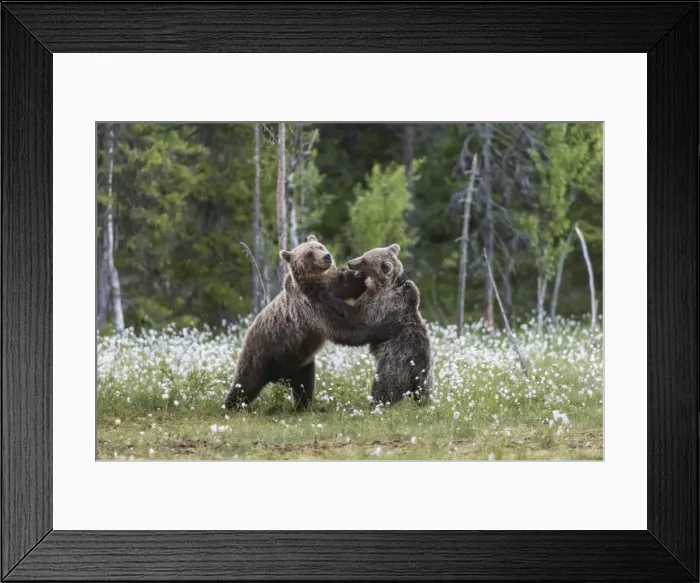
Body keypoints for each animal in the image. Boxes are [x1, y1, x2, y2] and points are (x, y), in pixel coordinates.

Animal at [223, 235, 402, 412]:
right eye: (309, 254)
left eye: (320, 246)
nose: (327, 256)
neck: (318, 284)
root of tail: (279, 377)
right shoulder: (310, 308)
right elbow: (340, 329)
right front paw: (385, 329)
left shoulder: (336, 284)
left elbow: (353, 285)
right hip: (260, 353)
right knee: (245, 383)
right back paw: (230, 406)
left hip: (301, 363)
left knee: (304, 385)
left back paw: (306, 407)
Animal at [330, 243, 434, 407]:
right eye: (364, 254)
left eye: (365, 261)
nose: (350, 263)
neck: (382, 285)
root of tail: (418, 370)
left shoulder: (380, 306)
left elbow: (358, 315)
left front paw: (334, 300)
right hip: (427, 379)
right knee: (426, 393)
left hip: (394, 365)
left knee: (383, 386)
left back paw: (375, 404)